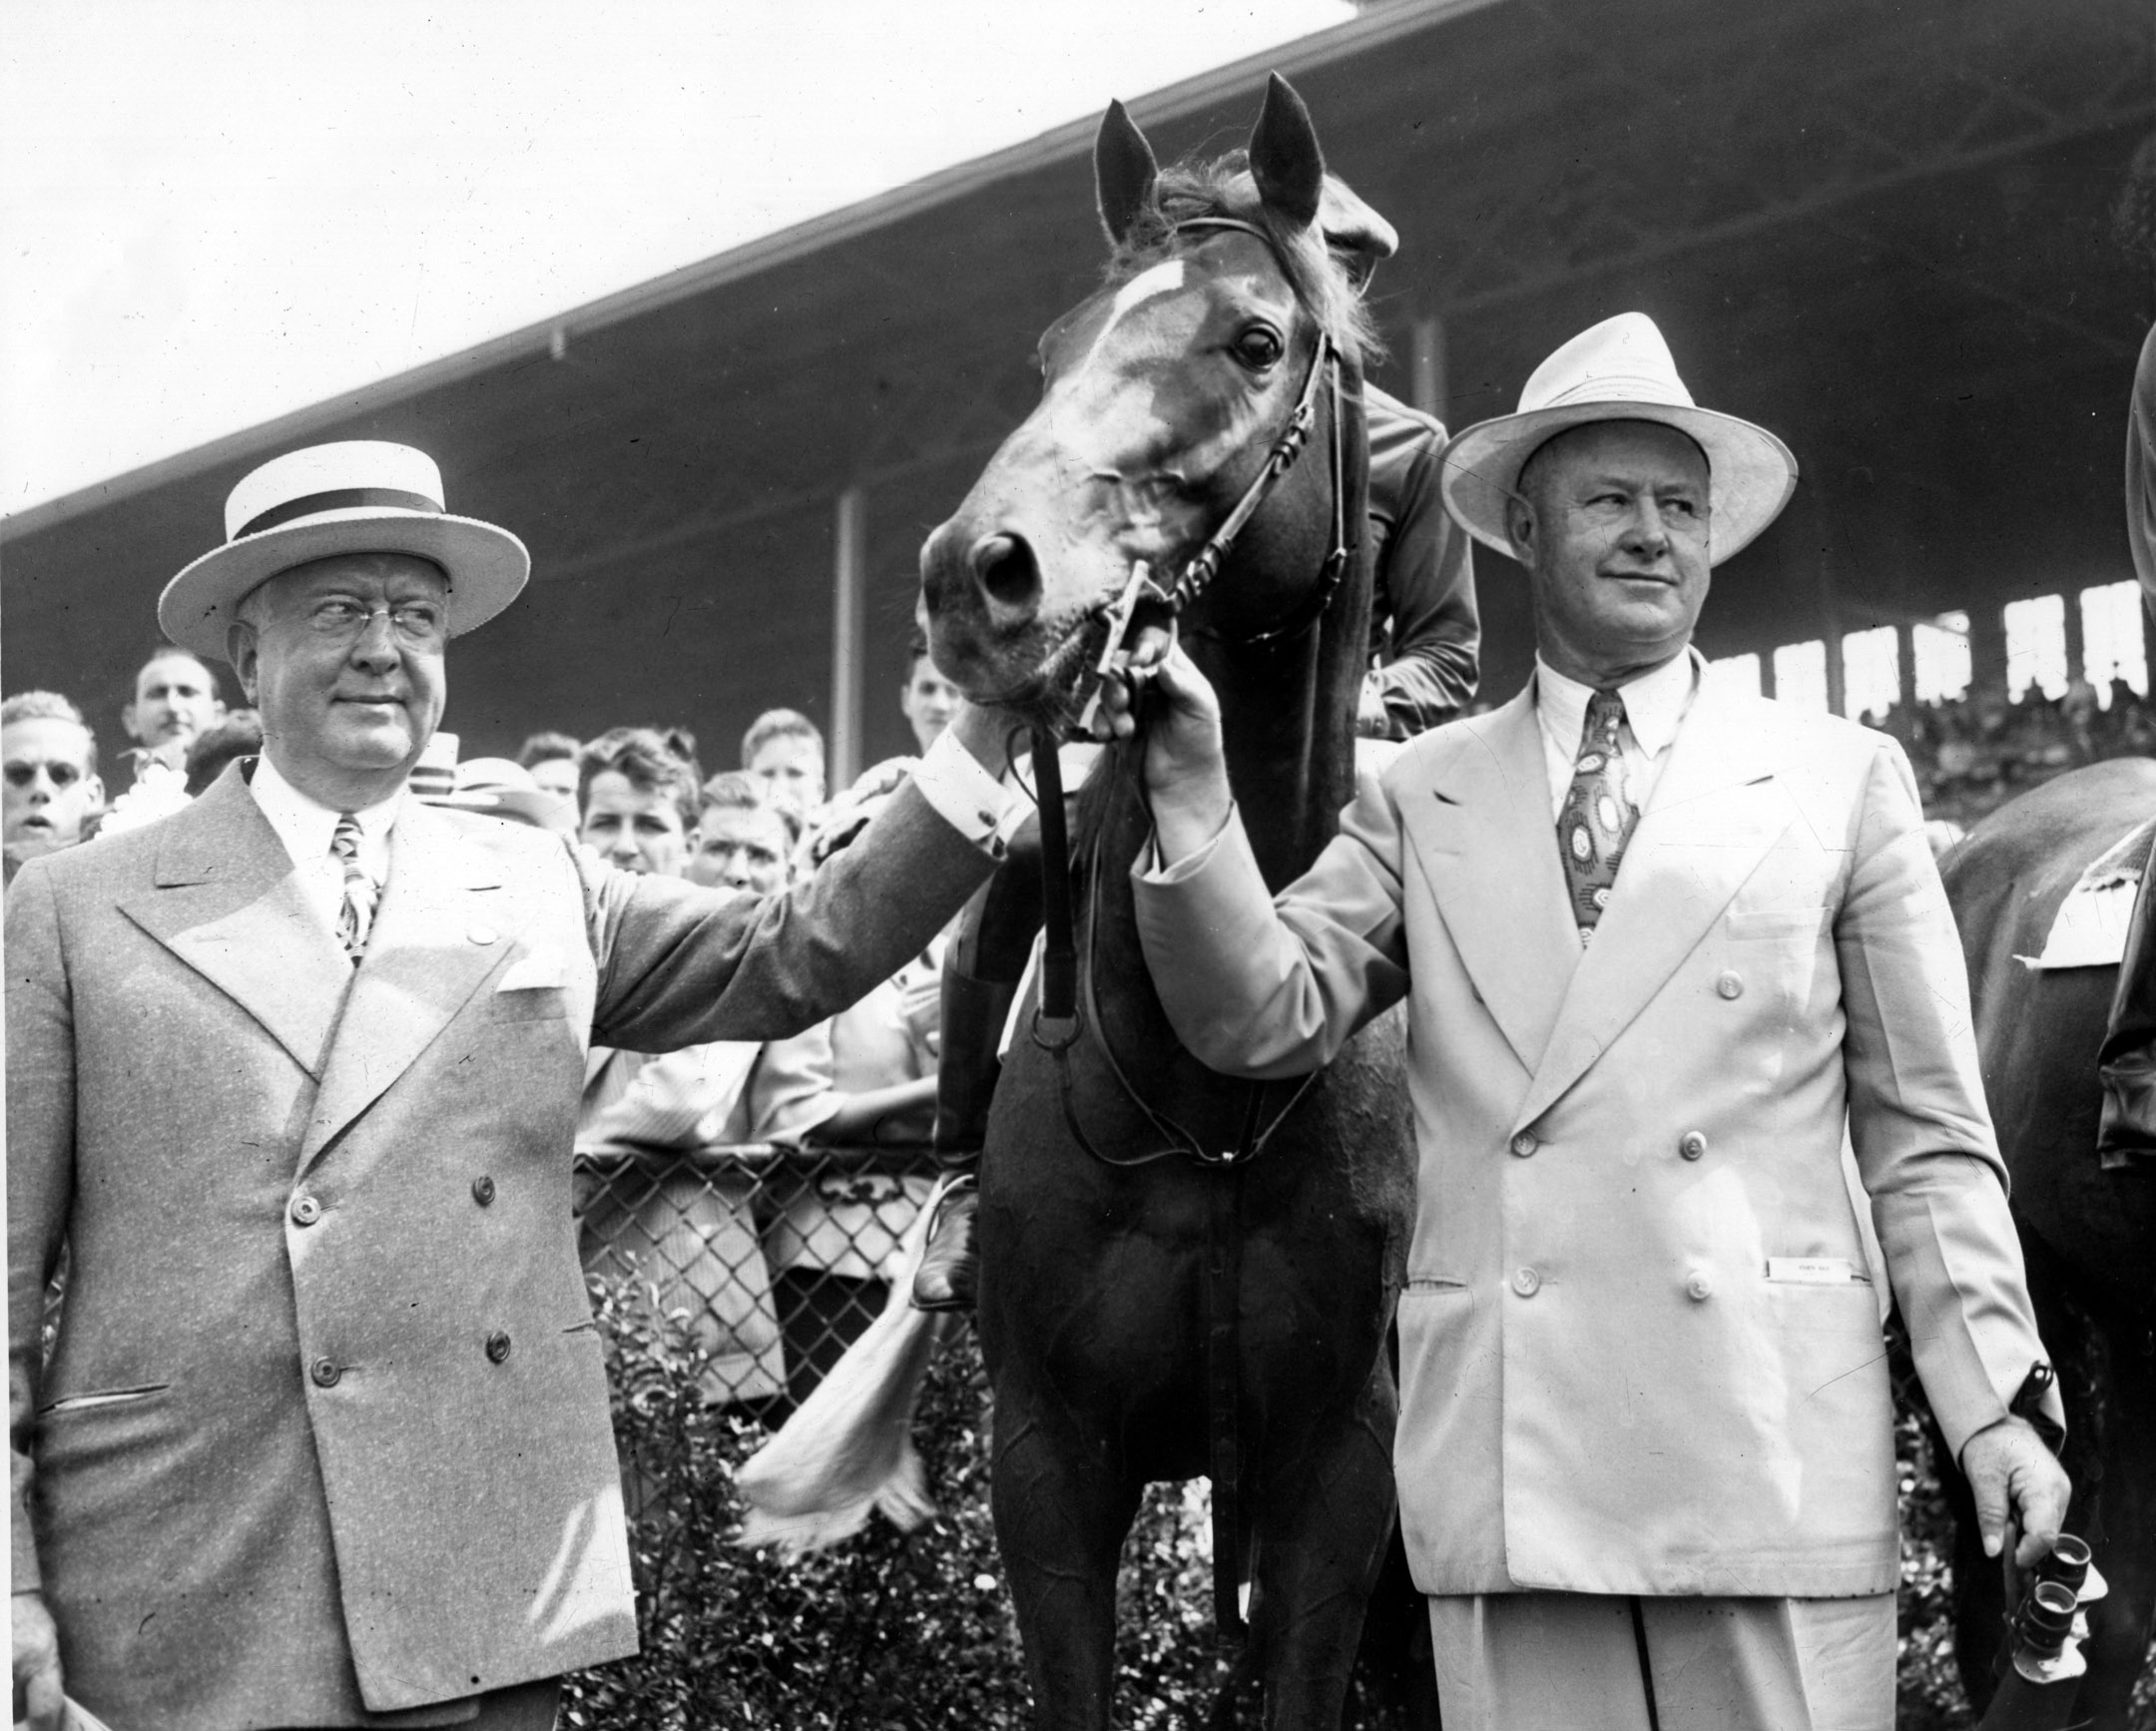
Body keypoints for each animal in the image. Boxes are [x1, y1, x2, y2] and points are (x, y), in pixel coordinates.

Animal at [918, 77, 1422, 1731]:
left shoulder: (1342, 1471)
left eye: (1255, 340)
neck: (1215, 1090)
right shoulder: (1048, 1464)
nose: (977, 575)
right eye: (1053, 347)